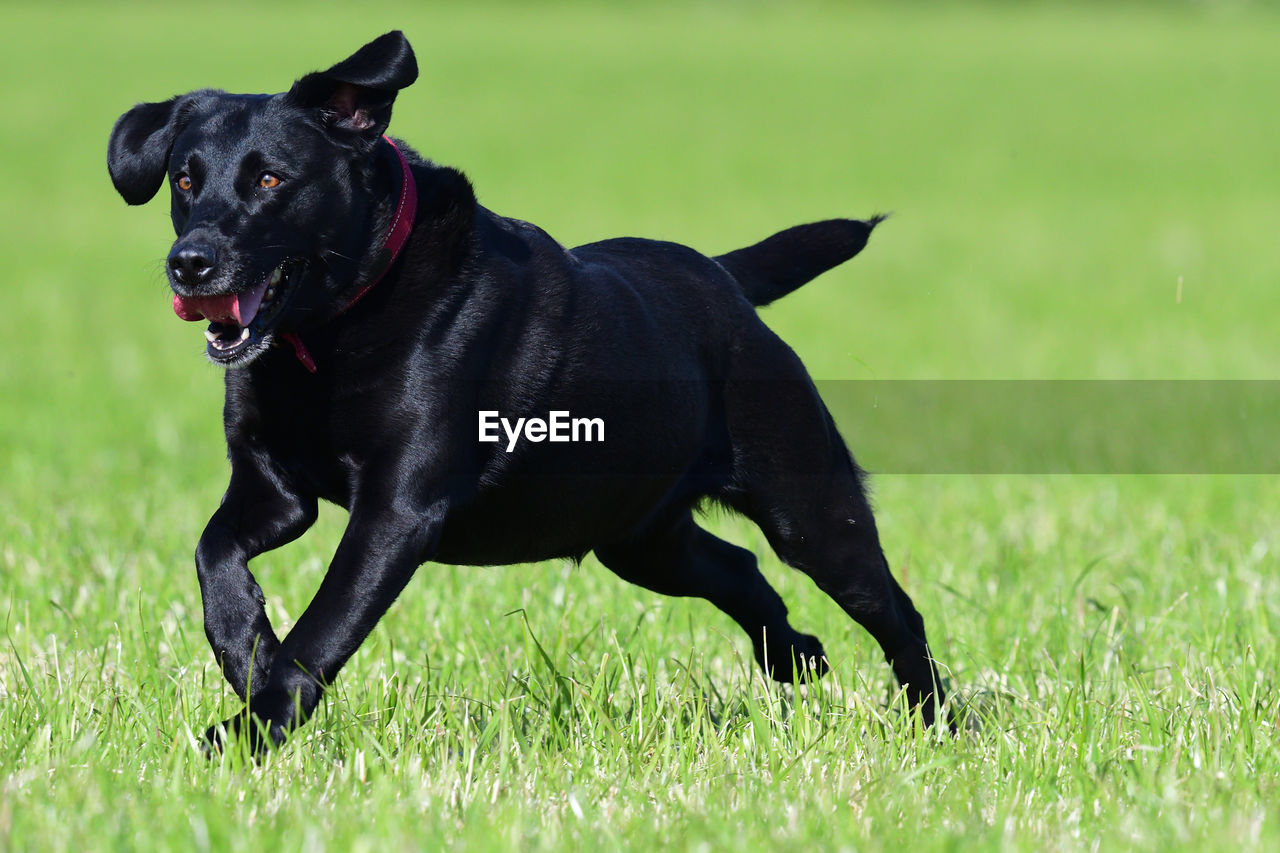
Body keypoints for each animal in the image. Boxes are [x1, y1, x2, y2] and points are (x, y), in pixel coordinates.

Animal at [110, 29, 947, 747]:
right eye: (185, 179)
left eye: (271, 178)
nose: (190, 262)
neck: (329, 333)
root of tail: (724, 277)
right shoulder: (275, 489)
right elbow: (214, 552)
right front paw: (244, 646)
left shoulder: (396, 512)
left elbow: (322, 630)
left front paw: (249, 729)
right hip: (640, 536)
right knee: (740, 571)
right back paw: (796, 655)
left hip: (808, 509)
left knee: (894, 609)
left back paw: (937, 722)